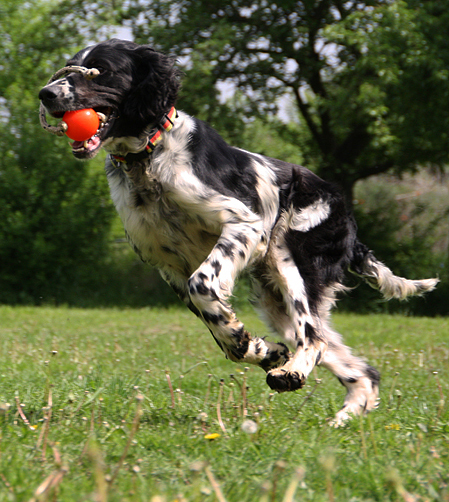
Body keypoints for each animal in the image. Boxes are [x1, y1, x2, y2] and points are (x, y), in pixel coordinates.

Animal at [39, 39, 438, 424]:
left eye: (99, 70)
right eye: (69, 67)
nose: (46, 93)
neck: (149, 160)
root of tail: (346, 213)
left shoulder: (243, 225)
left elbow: (204, 287)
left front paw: (253, 347)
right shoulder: (168, 266)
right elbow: (218, 326)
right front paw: (261, 350)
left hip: (293, 263)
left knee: (314, 336)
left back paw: (293, 374)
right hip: (275, 302)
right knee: (356, 365)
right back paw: (340, 416)